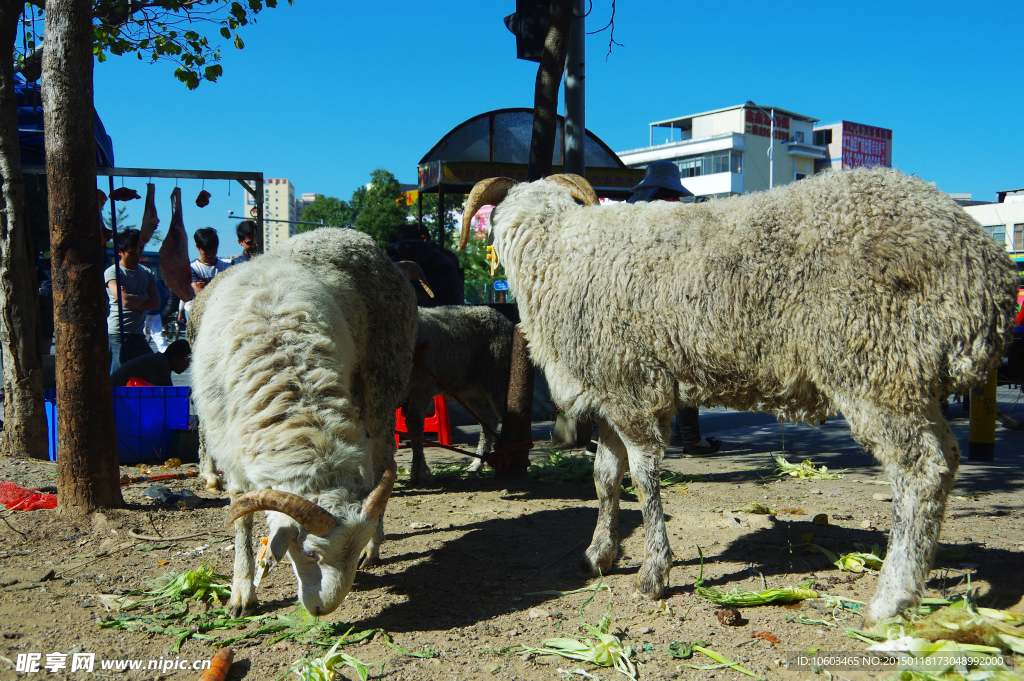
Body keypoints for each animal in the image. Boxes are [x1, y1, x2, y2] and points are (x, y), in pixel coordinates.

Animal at [190, 227, 417, 614]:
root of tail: (358, 236)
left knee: (381, 454)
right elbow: (242, 517)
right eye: (310, 553)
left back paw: (377, 545)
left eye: (351, 551)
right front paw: (242, 590)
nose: (322, 609)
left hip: (384, 377)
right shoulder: (227, 441)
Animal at [399, 303, 512, 483]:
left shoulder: (424, 385)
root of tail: (498, 314)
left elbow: (413, 423)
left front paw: (418, 470)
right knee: (488, 419)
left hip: (499, 377)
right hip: (469, 390)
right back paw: (477, 464)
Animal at [462, 166, 1015, 622]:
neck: (557, 249)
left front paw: (653, 573)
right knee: (946, 459)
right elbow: (604, 478)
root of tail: (985, 267)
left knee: (920, 472)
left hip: (876, 364)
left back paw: (890, 600)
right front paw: (599, 554)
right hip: (913, 376)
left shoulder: (633, 388)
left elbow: (643, 476)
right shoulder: (611, 391)